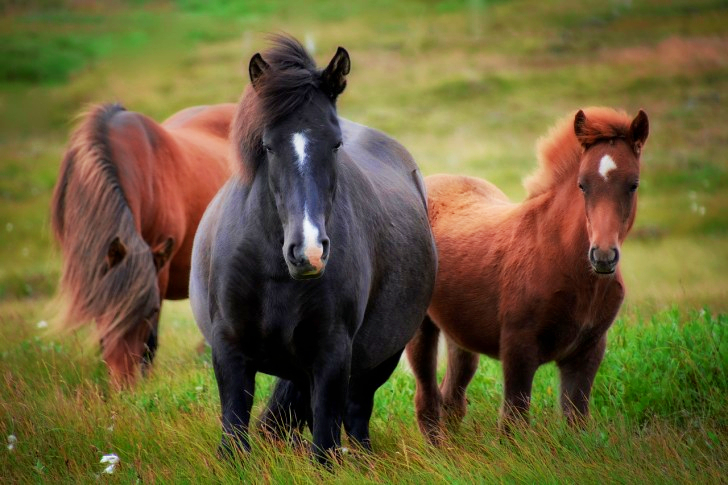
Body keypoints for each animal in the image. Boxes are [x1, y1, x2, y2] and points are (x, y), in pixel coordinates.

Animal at [189, 35, 437, 464]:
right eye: (268, 146)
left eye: (335, 144)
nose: (309, 252)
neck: (273, 271)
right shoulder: (229, 349)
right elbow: (234, 437)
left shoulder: (332, 354)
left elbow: (324, 444)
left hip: (380, 359)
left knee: (356, 415)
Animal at [406, 107, 649, 444]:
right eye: (582, 184)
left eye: (633, 184)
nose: (602, 256)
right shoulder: (518, 347)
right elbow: (513, 421)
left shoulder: (588, 351)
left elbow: (576, 419)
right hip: (420, 327)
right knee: (427, 399)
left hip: (460, 332)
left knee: (451, 397)